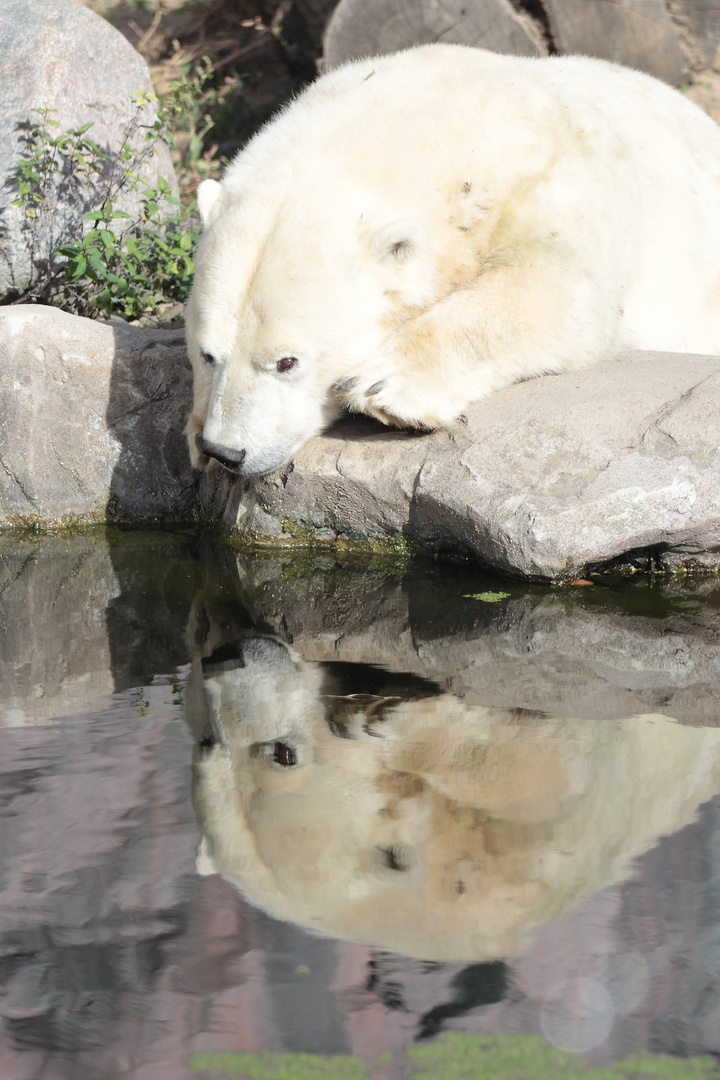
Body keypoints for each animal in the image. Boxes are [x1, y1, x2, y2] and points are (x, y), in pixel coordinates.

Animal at [187, 45, 720, 477]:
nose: (226, 452)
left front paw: (385, 386)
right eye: (207, 354)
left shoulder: (549, 175)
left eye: (286, 361)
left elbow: (563, 286)